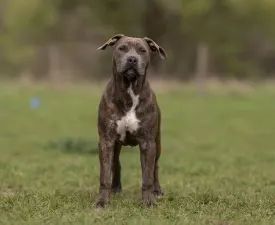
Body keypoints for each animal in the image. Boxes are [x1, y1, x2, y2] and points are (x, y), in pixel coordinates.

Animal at [95, 33, 168, 207]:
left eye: (142, 50)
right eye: (122, 48)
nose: (132, 59)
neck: (129, 90)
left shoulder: (148, 142)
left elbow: (147, 176)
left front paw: (148, 202)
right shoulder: (106, 140)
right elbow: (104, 175)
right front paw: (102, 202)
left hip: (157, 142)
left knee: (155, 166)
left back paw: (157, 191)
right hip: (115, 146)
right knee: (116, 164)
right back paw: (115, 189)